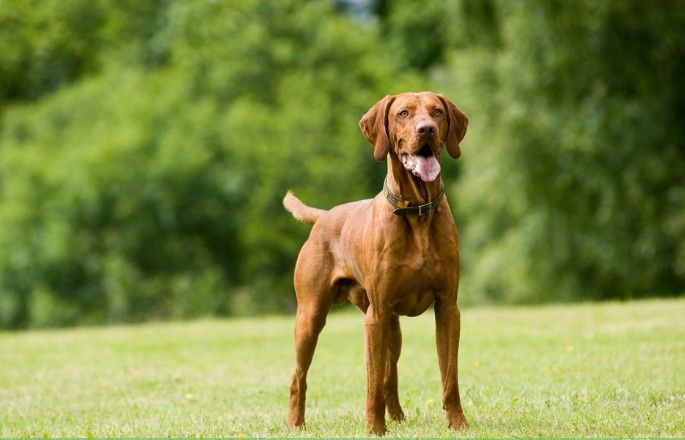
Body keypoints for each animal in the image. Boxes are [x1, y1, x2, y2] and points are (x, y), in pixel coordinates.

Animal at [280, 92, 468, 434]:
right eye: (403, 113)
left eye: (437, 112)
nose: (427, 129)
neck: (416, 212)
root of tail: (324, 216)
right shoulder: (376, 316)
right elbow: (371, 383)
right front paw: (374, 429)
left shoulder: (448, 308)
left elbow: (449, 377)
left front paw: (458, 423)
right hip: (310, 317)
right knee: (299, 376)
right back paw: (295, 424)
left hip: (392, 327)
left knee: (389, 375)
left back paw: (398, 416)